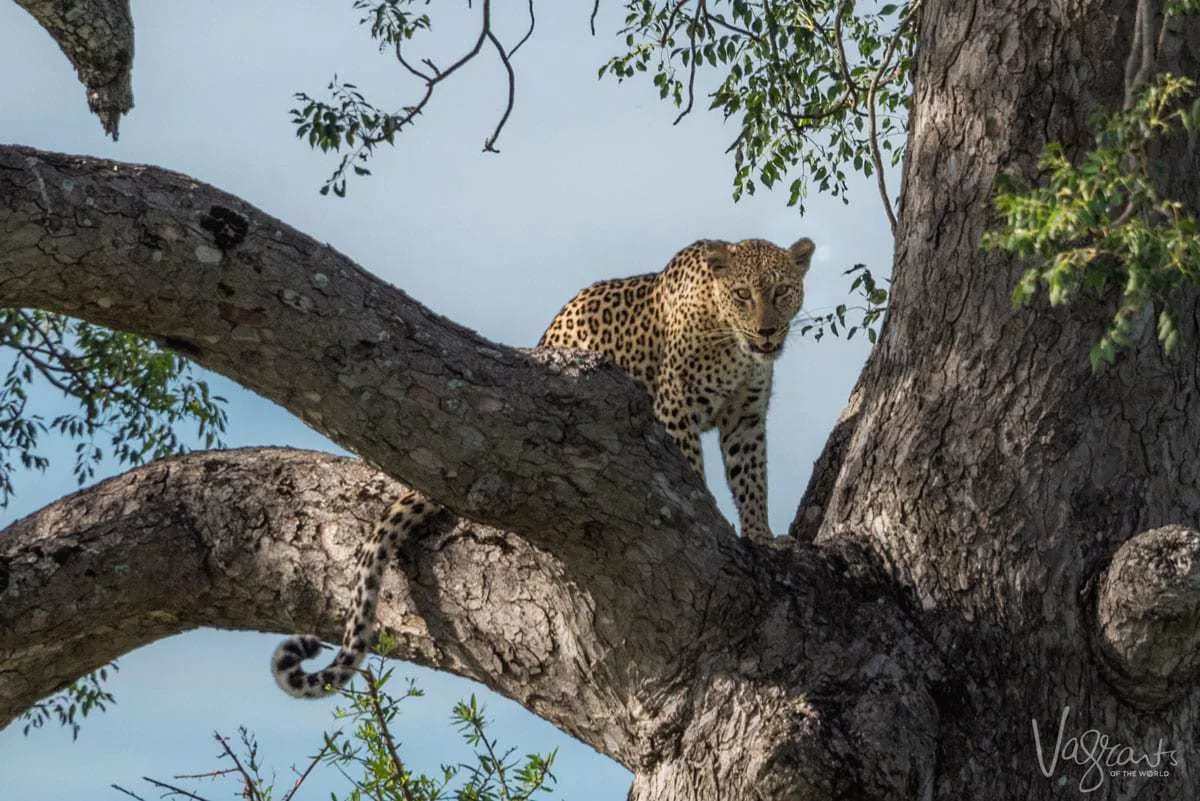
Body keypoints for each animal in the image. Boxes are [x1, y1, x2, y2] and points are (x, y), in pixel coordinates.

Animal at [272, 232, 816, 695]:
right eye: (743, 294)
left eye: (782, 291)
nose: (767, 331)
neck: (734, 345)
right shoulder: (674, 406)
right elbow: (690, 470)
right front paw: (710, 517)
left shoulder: (745, 418)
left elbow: (752, 480)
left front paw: (762, 537)